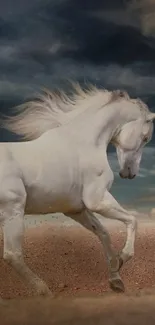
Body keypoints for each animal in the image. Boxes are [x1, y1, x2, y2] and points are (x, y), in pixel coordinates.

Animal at [0, 82, 154, 294]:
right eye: (146, 137)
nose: (129, 173)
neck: (84, 142)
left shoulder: (75, 209)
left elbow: (103, 233)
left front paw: (115, 279)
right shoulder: (97, 200)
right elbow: (133, 220)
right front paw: (122, 259)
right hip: (13, 211)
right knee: (12, 254)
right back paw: (44, 291)